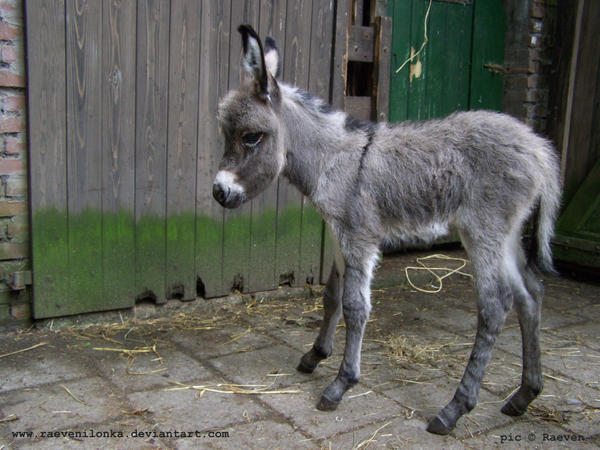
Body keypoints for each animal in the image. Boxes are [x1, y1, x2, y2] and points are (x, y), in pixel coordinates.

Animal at [214, 26, 564, 434]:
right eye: (226, 134)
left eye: (251, 137)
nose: (219, 192)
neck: (333, 159)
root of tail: (538, 147)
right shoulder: (339, 235)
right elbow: (331, 296)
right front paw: (315, 355)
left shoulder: (359, 237)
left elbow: (356, 307)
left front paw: (341, 384)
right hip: (507, 234)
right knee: (530, 295)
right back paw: (524, 395)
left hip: (484, 231)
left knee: (495, 306)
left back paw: (455, 408)